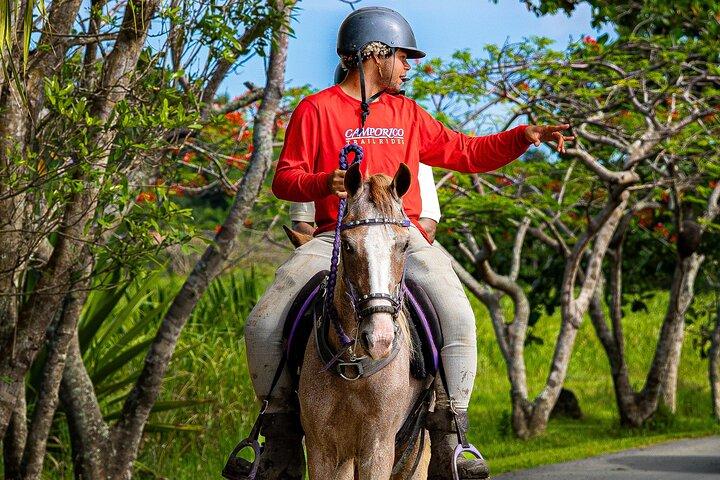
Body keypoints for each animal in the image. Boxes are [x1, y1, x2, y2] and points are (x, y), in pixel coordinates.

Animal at [295, 162, 430, 480]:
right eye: (346, 245)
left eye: (404, 245)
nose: (379, 339)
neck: (353, 367)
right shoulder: (321, 448)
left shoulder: (378, 446)